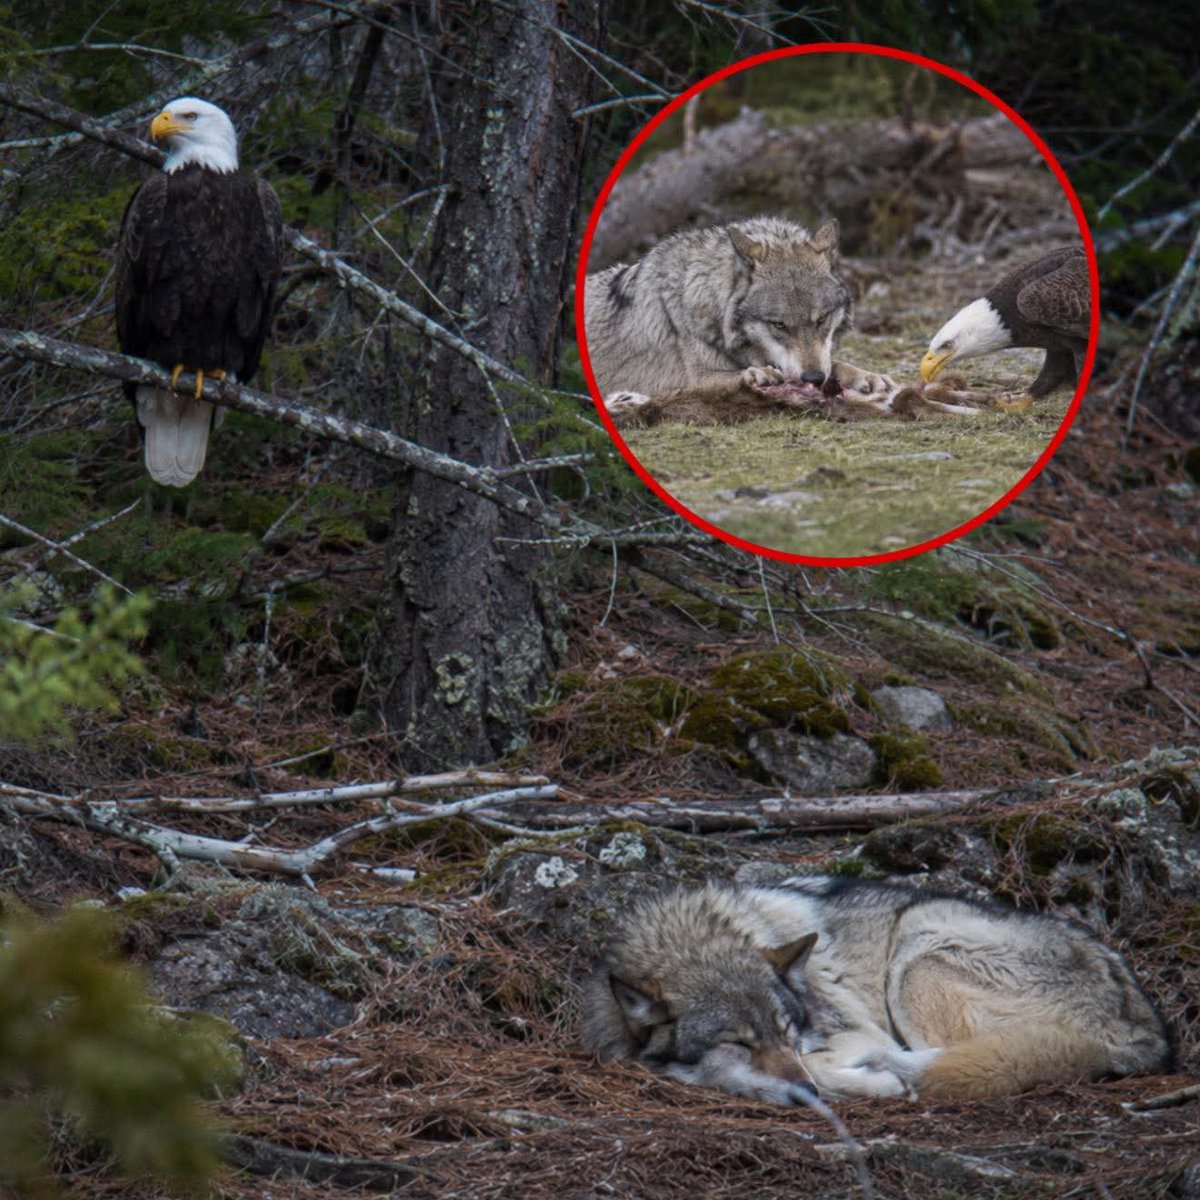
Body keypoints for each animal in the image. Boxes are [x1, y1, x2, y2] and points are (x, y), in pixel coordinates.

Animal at [582, 876, 1171, 1104]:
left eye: (787, 1031)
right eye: (740, 1043)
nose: (808, 1096)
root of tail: (1150, 1030)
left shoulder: (856, 1031)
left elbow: (831, 1062)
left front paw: (875, 1081)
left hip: (919, 946)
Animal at [583, 217, 895, 417]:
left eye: (820, 320)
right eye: (778, 325)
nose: (814, 378)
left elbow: (837, 363)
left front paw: (868, 377)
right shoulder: (692, 381)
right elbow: (735, 376)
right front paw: (757, 373)